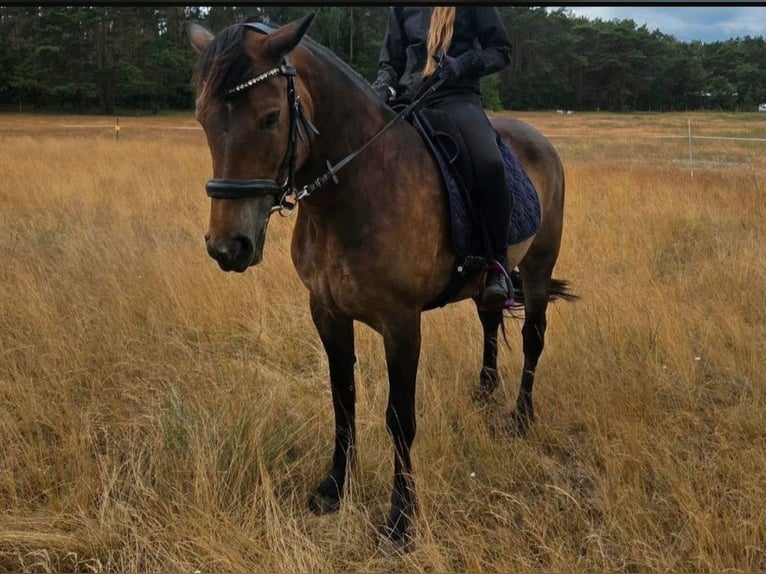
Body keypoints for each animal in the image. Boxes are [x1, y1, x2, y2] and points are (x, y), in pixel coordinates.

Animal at [186, 14, 572, 544]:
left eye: (269, 117)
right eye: (203, 119)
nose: (228, 247)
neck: (356, 190)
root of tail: (539, 141)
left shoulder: (401, 323)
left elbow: (399, 418)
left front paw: (401, 519)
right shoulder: (326, 312)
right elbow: (343, 400)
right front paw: (333, 488)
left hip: (537, 267)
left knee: (533, 338)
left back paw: (520, 419)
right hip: (488, 282)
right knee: (491, 320)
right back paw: (484, 392)